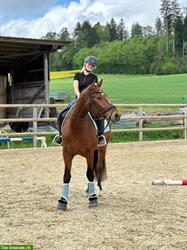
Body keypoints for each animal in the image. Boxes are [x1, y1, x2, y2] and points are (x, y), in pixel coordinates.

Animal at [57, 79, 120, 210]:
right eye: (99, 98)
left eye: (106, 96)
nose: (117, 115)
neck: (76, 125)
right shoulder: (66, 153)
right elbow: (66, 175)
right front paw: (62, 201)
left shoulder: (89, 153)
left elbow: (90, 174)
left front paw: (93, 199)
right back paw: (89, 190)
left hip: (102, 149)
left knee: (98, 167)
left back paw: (97, 191)